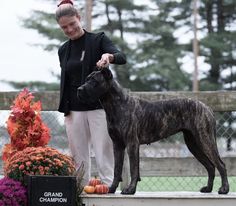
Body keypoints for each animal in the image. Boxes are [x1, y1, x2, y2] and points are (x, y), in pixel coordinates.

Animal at [77, 67, 229, 195]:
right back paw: (208, 188)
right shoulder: (118, 145)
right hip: (193, 143)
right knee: (210, 166)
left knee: (220, 164)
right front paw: (112, 188)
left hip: (205, 139)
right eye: (86, 79)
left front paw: (130, 190)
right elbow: (117, 169)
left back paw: (224, 189)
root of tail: (207, 108)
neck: (116, 104)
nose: (79, 89)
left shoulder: (132, 144)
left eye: (94, 81)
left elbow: (133, 168)